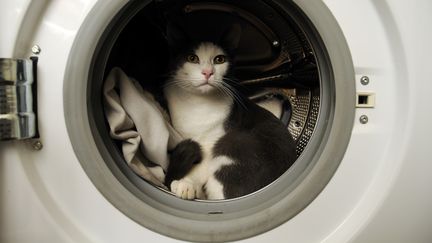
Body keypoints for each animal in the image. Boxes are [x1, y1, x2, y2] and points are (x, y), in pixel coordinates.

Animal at [163, 24, 296, 199]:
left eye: (219, 59)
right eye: (192, 58)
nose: (208, 72)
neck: (198, 102)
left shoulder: (212, 141)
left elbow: (202, 166)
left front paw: (187, 183)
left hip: (234, 141)